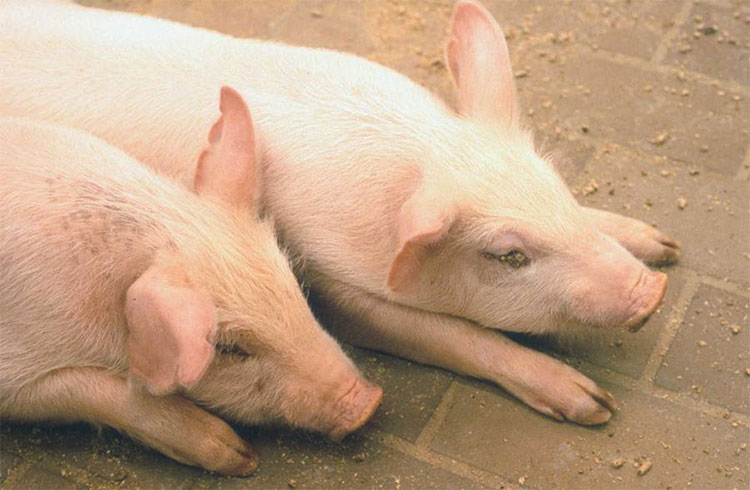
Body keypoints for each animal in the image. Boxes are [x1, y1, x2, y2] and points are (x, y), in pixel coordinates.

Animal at [0, 0, 677, 425]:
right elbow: (454, 335)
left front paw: (662, 242)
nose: (652, 292)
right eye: (510, 255)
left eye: (557, 183)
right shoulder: (331, 277)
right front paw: (595, 406)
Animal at [0, 88, 382, 475]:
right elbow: (103, 391)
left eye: (294, 289)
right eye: (229, 348)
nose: (368, 401)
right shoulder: (16, 371)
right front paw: (242, 457)